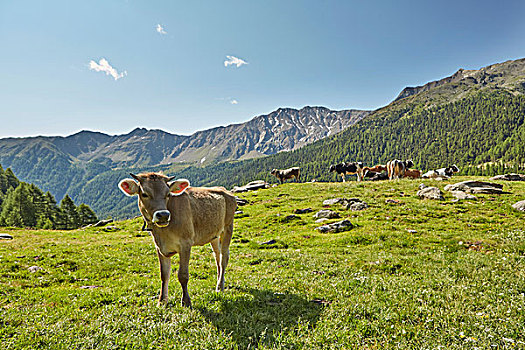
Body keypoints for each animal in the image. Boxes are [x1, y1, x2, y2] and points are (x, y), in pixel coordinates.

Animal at [118, 172, 235, 306]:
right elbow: (164, 275)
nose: (163, 215)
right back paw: (219, 283)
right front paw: (162, 301)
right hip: (214, 235)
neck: (163, 233)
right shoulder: (159, 247)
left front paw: (186, 302)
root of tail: (224, 190)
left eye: (168, 194)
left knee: (224, 258)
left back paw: (220, 287)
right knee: (217, 256)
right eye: (144, 194)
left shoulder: (185, 243)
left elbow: (183, 275)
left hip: (228, 227)